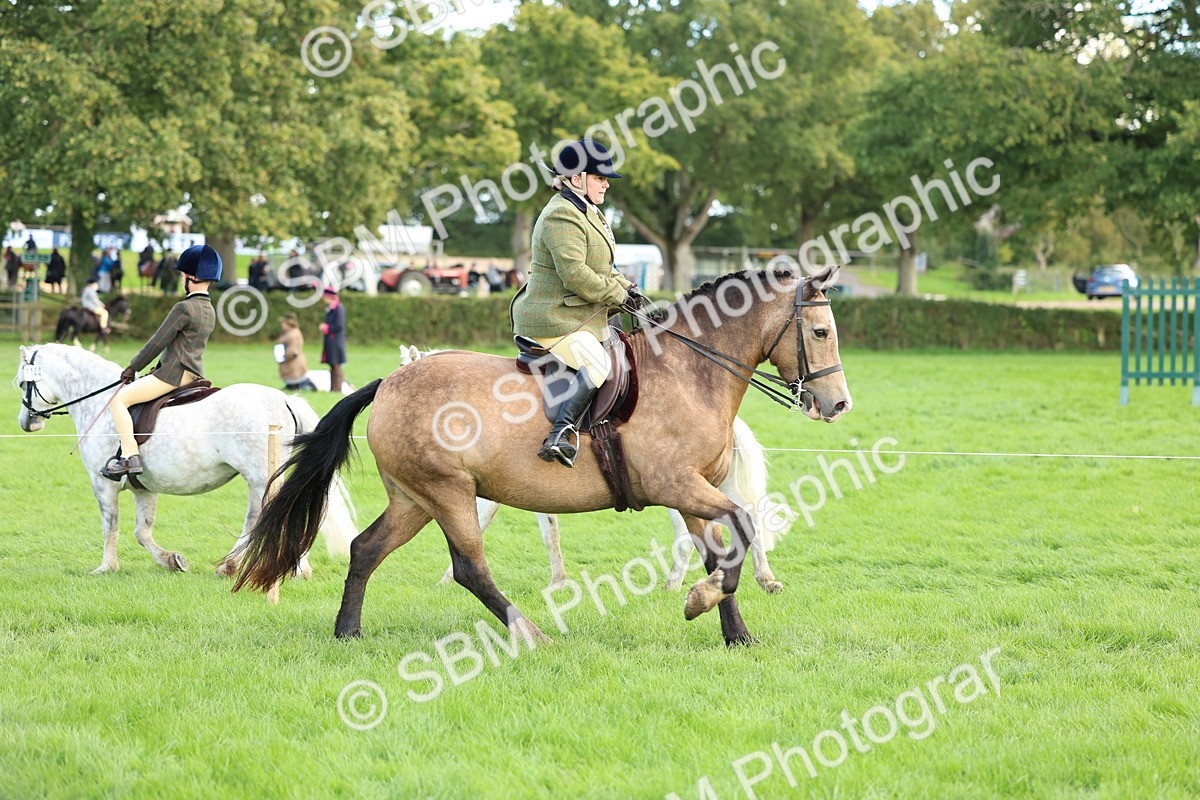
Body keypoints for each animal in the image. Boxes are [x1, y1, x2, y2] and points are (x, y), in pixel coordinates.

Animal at [15, 344, 357, 577]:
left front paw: (106, 567)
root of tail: (283, 398)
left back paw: (234, 564)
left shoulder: (102, 485)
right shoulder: (144, 488)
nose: (26, 423)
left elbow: (110, 525)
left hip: (260, 477)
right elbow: (142, 532)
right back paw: (295, 567)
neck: (100, 401)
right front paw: (171, 560)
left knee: (264, 517)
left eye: (21, 382)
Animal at [396, 345, 795, 593]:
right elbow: (548, 529)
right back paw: (763, 578)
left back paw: (678, 583)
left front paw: (448, 578)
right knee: (748, 520)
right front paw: (558, 580)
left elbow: (484, 523)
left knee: (697, 532)